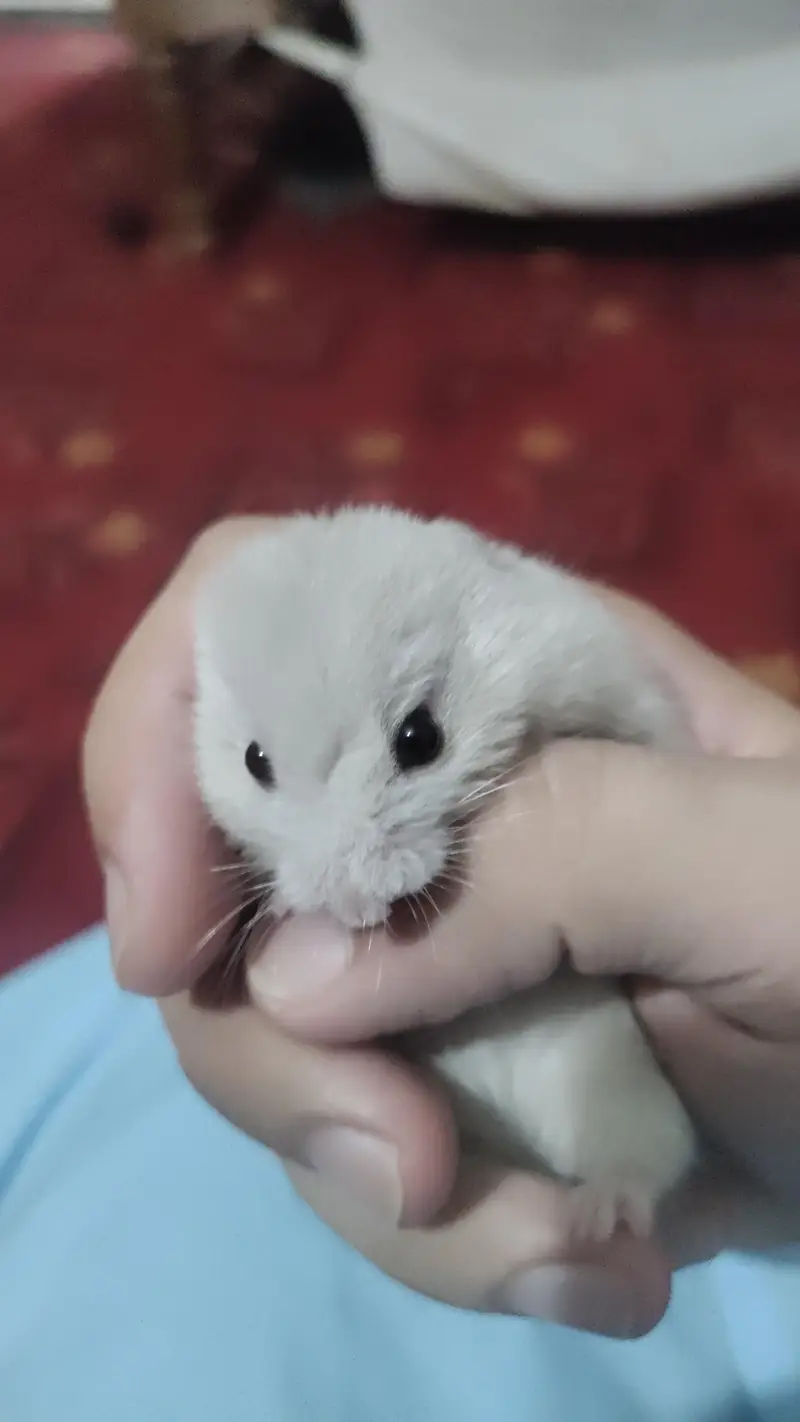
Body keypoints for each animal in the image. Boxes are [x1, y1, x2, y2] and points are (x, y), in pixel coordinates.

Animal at [193, 505, 697, 1241]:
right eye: (256, 761)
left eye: (420, 739)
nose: (354, 907)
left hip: (622, 1087)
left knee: (651, 1158)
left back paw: (594, 1224)